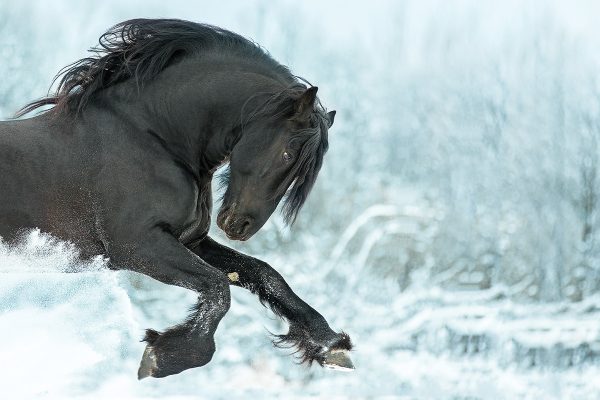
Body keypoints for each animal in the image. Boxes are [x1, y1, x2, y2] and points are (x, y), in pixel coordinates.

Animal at [0, 19, 354, 378]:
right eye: (287, 153)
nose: (239, 225)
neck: (154, 137)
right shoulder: (136, 246)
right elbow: (218, 289)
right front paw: (162, 356)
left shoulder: (190, 240)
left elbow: (266, 275)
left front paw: (331, 345)